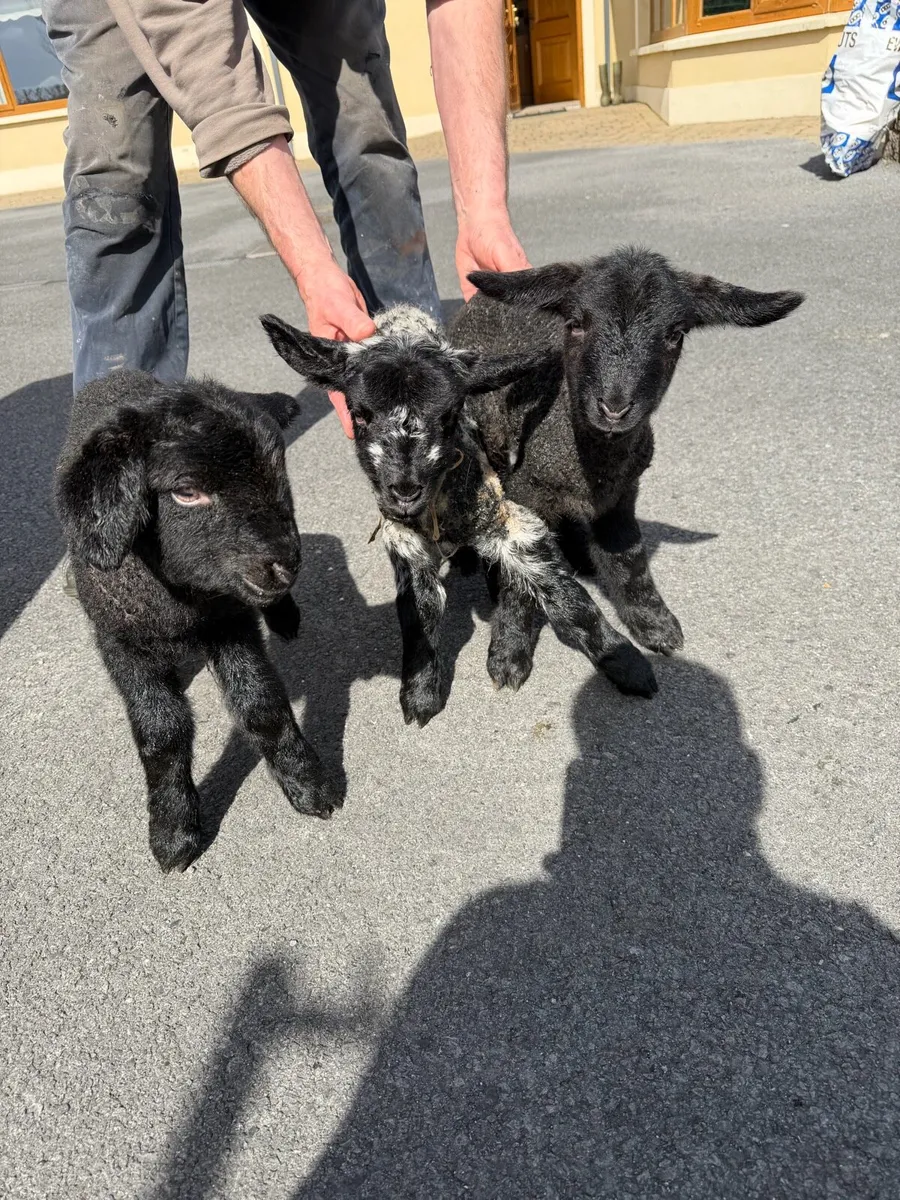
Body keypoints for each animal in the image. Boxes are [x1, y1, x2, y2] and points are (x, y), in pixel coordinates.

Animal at [56, 372, 339, 873]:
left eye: (279, 472)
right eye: (186, 492)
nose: (285, 564)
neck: (182, 602)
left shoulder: (231, 620)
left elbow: (261, 704)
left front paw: (308, 784)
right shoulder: (121, 640)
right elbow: (162, 731)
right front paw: (173, 831)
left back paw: (285, 616)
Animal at [261, 305, 658, 729]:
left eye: (449, 415)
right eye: (359, 415)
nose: (404, 490)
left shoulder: (507, 518)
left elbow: (567, 597)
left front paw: (627, 665)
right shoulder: (403, 538)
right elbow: (418, 613)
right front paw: (420, 693)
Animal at [449, 247, 805, 687]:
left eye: (675, 334)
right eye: (575, 324)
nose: (614, 407)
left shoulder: (621, 495)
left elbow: (629, 560)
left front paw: (653, 623)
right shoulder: (524, 495)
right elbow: (525, 584)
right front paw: (511, 650)